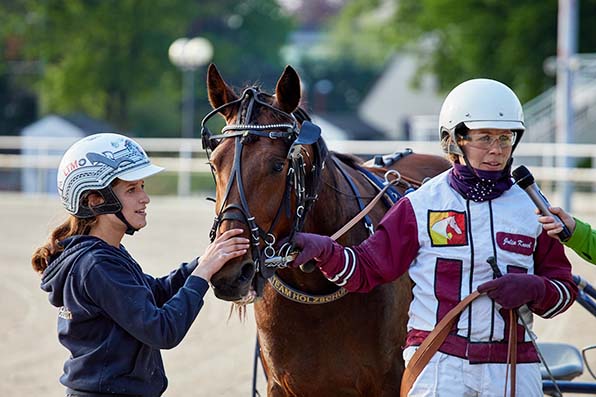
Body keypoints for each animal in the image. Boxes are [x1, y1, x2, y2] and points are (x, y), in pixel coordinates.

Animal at [203, 63, 450, 394]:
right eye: (215, 163)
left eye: (277, 165)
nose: (230, 271)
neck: (314, 289)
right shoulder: (280, 385)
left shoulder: (391, 380)